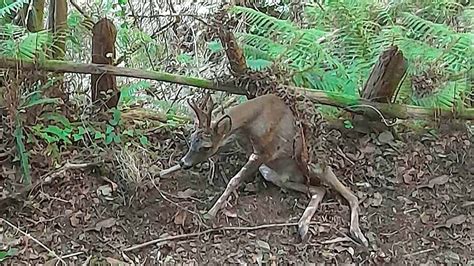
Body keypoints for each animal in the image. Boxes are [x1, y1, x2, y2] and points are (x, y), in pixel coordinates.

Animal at [180, 93, 368, 245]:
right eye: (191, 138)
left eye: (206, 147)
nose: (183, 163)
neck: (252, 125)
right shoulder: (256, 155)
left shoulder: (265, 152)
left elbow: (234, 180)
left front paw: (210, 213)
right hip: (271, 173)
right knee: (319, 190)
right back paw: (302, 226)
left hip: (312, 164)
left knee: (350, 194)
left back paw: (358, 234)